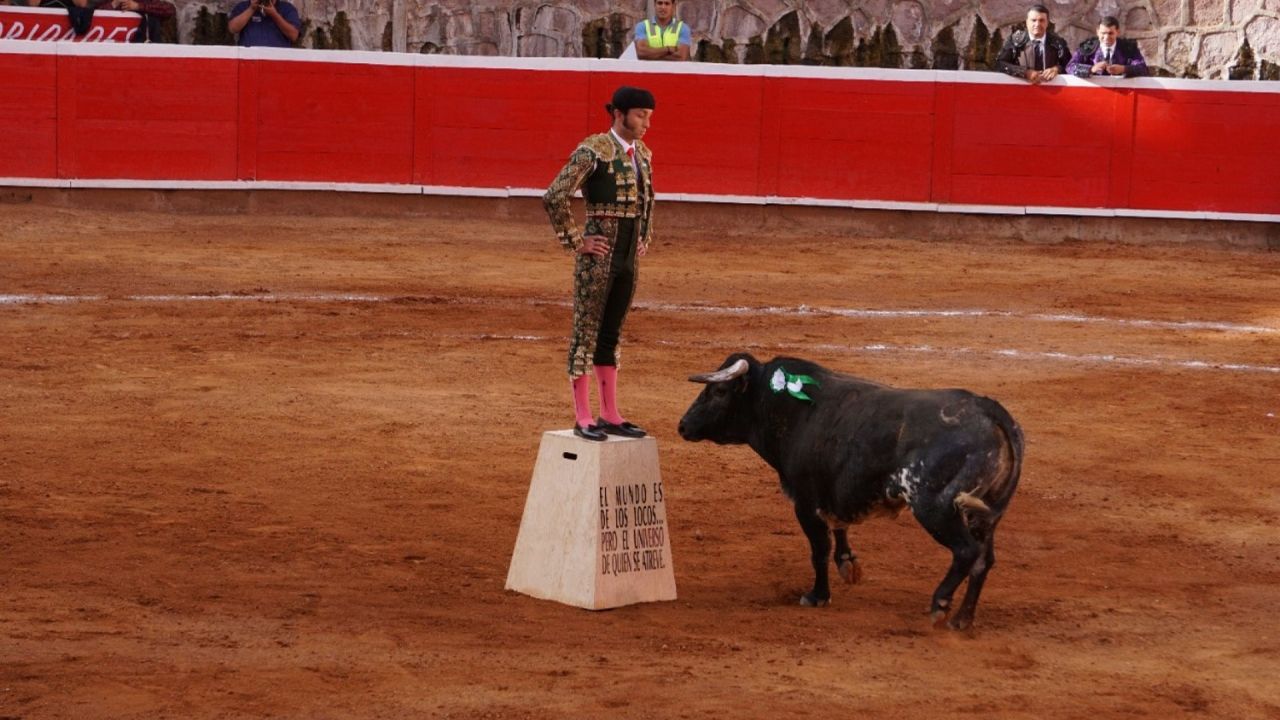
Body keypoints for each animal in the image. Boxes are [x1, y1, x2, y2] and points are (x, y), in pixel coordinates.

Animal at [675, 353, 1024, 627]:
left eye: (719, 390)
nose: (683, 426)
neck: (785, 408)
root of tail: (989, 410)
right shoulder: (834, 493)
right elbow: (839, 528)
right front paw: (848, 564)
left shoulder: (805, 501)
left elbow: (818, 549)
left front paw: (817, 596)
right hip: (985, 514)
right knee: (983, 560)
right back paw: (963, 620)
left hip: (934, 507)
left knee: (966, 552)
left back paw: (940, 605)